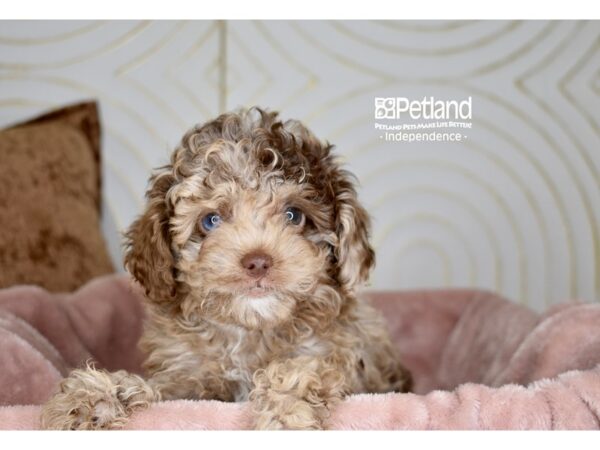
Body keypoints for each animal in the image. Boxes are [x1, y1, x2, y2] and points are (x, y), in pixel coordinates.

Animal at [39, 107, 410, 430]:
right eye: (211, 220)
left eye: (294, 215)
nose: (258, 262)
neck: (250, 329)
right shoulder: (190, 380)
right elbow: (163, 391)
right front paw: (93, 397)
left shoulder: (342, 357)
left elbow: (305, 368)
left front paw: (285, 413)